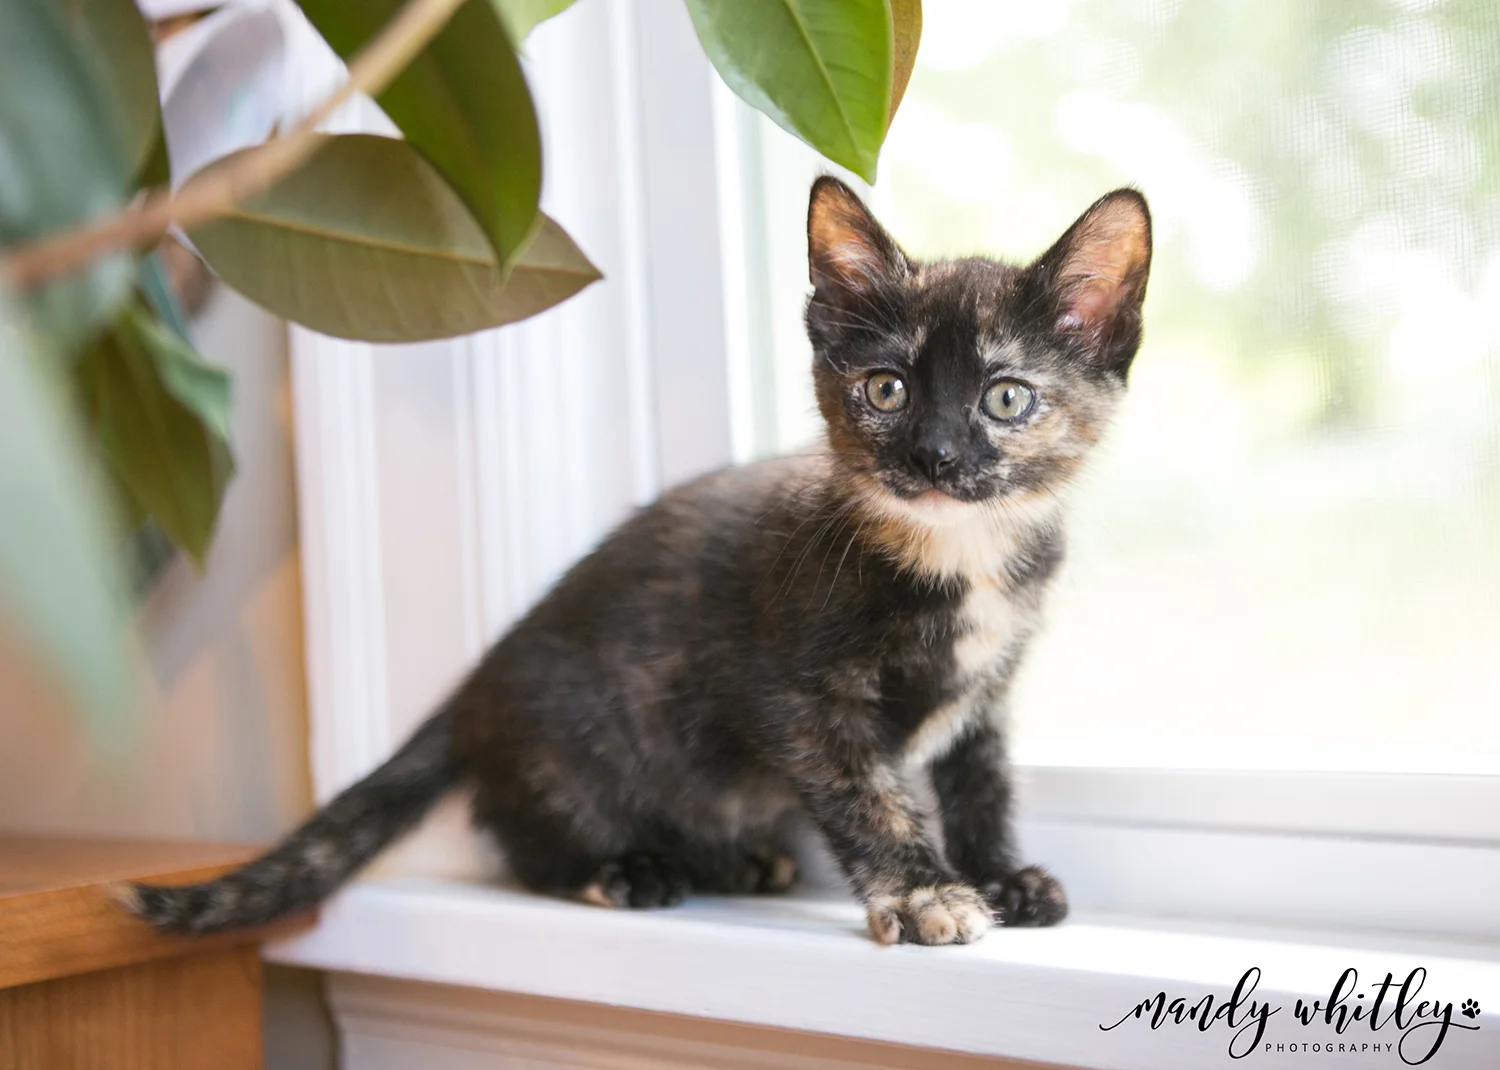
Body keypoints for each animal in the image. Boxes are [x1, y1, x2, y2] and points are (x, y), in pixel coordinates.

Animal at [124, 176, 1151, 946]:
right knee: (533, 841)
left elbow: (982, 783)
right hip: (573, 733)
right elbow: (869, 797)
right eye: (886, 390)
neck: (957, 554)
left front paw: (999, 875)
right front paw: (924, 891)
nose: (934, 456)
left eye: (1007, 397)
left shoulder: (990, 685)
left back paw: (736, 857)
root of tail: (473, 691)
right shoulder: (796, 689)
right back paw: (622, 868)